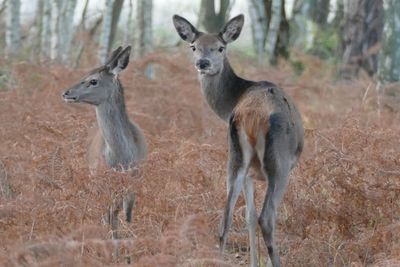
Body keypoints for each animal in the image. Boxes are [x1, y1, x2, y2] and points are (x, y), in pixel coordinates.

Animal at [63, 45, 148, 239]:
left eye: (93, 80)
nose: (66, 93)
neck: (122, 159)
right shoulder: (103, 180)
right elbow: (112, 217)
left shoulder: (135, 181)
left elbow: (127, 216)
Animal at [172, 14, 304, 267]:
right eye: (194, 46)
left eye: (220, 47)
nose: (203, 63)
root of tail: (253, 116)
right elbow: (257, 216)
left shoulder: (249, 172)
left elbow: (248, 216)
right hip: (279, 163)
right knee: (267, 218)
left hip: (235, 156)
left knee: (225, 218)